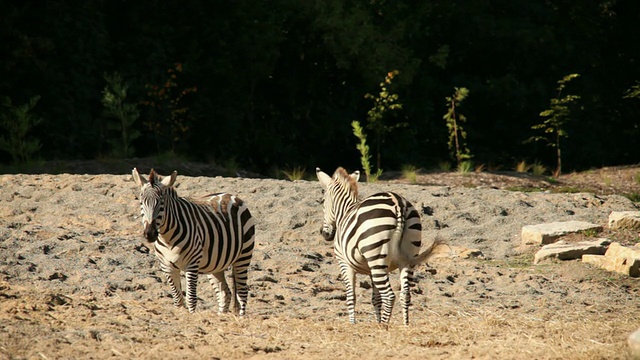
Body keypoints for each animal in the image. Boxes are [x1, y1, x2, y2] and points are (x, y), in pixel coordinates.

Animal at [132, 167, 255, 314]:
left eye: (161, 204)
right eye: (141, 202)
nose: (150, 234)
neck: (167, 239)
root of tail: (231, 195)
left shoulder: (192, 264)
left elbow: (191, 298)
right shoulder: (167, 267)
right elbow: (178, 299)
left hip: (243, 256)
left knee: (242, 293)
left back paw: (239, 317)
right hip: (215, 264)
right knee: (225, 292)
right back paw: (221, 317)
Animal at [316, 167, 440, 324]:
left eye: (323, 202)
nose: (325, 234)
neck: (344, 212)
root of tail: (398, 202)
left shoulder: (344, 263)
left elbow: (351, 297)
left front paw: (353, 324)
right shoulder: (371, 270)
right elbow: (376, 298)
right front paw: (377, 321)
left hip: (377, 257)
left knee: (389, 295)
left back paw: (384, 327)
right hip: (406, 257)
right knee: (405, 294)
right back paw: (405, 326)